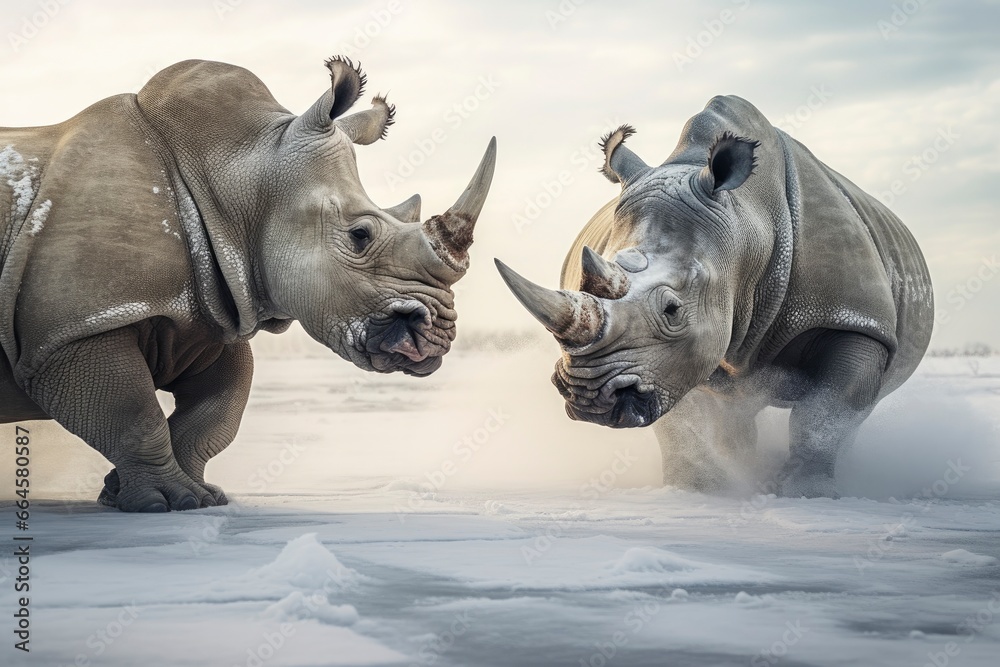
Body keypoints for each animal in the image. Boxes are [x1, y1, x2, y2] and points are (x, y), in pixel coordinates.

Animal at [0, 58, 496, 512]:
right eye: (360, 235)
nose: (436, 337)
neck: (237, 174)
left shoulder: (211, 316)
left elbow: (218, 414)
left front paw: (185, 497)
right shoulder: (71, 329)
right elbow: (134, 415)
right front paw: (165, 502)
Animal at [496, 95, 933, 497]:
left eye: (672, 310)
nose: (586, 395)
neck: (749, 227)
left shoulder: (856, 321)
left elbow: (825, 414)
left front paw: (807, 493)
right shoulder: (670, 359)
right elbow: (682, 420)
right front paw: (698, 489)